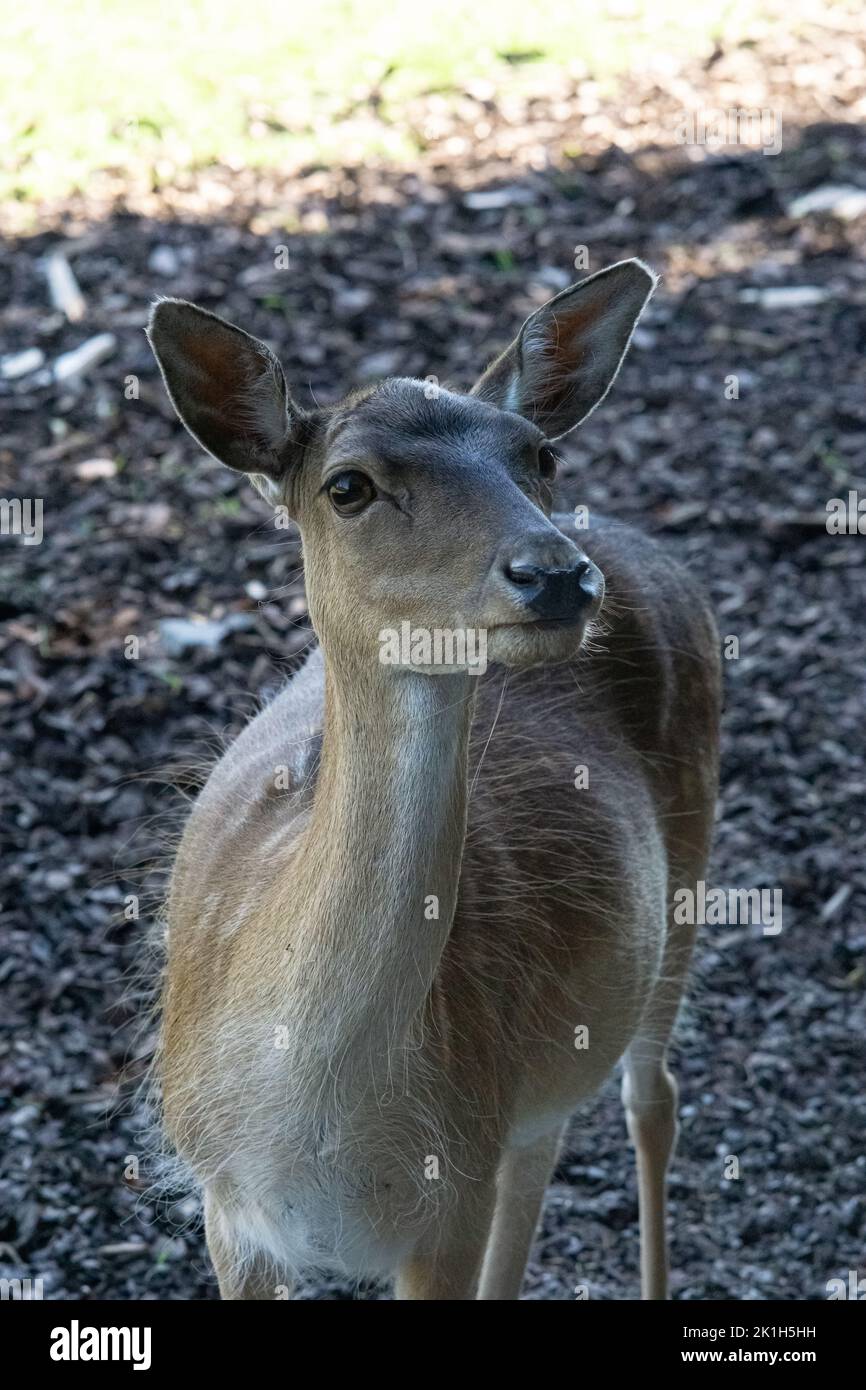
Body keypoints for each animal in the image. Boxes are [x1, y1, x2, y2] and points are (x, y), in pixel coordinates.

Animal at [146, 258, 721, 1301]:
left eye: (541, 455)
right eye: (349, 485)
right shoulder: (224, 1206)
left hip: (692, 867)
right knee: (548, 1146)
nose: (557, 573)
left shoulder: (449, 1194)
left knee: (650, 1097)